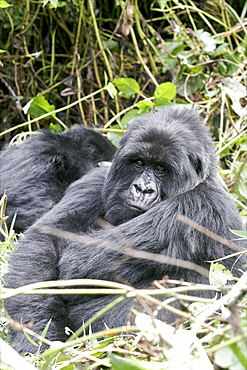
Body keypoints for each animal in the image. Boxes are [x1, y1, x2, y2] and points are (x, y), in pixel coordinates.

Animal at [4, 106, 246, 352]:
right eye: (138, 163)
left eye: (160, 168)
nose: (142, 189)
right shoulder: (95, 179)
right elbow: (45, 240)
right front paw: (36, 335)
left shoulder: (199, 205)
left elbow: (76, 261)